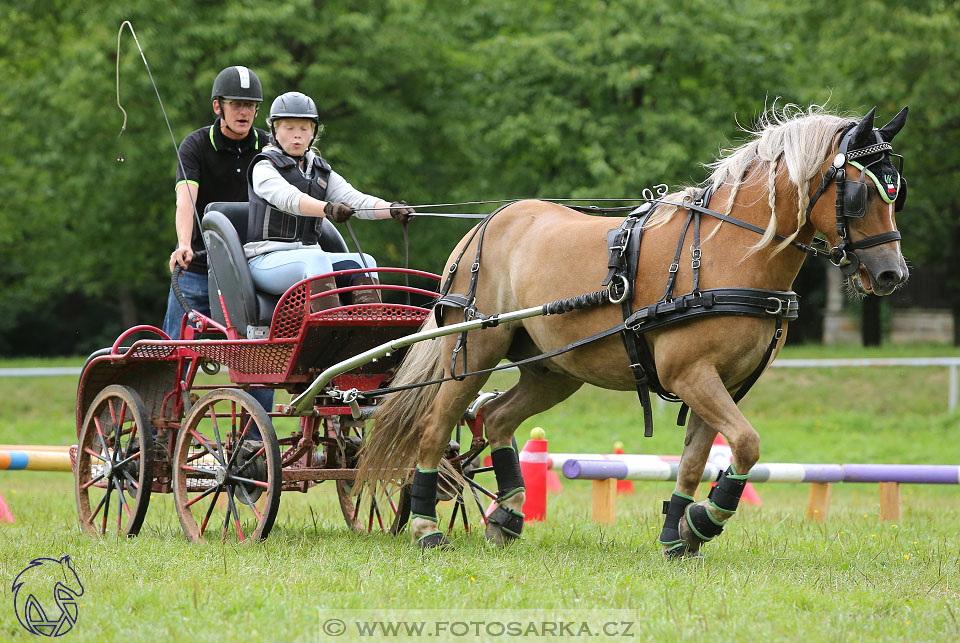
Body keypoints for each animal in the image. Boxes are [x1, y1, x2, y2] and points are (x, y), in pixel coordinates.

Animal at [358, 104, 908, 552]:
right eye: (860, 194)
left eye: (896, 192)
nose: (892, 275)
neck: (727, 253)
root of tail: (485, 224)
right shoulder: (691, 374)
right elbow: (747, 444)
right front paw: (704, 521)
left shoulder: (721, 383)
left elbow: (697, 459)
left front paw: (682, 532)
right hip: (473, 349)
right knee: (435, 426)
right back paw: (426, 527)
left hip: (554, 370)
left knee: (495, 417)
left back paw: (508, 514)